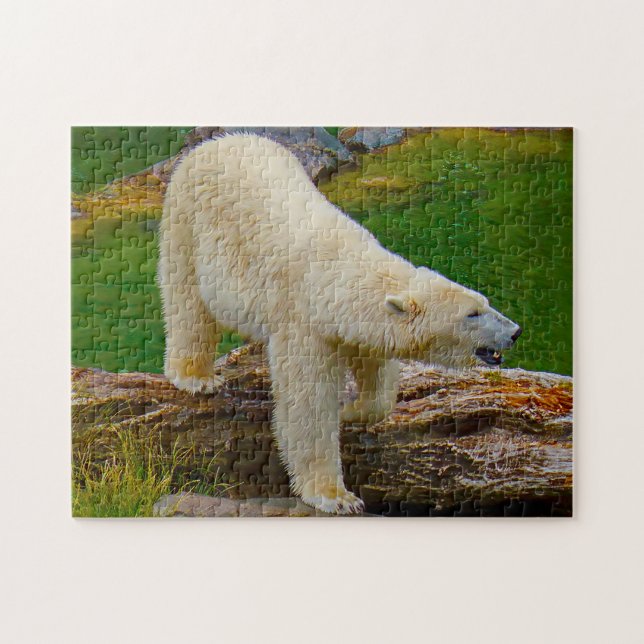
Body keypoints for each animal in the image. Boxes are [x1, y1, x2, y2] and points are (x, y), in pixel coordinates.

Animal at [158, 133, 522, 514]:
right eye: (472, 314)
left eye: (485, 302)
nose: (514, 332)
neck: (341, 272)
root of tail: (218, 141)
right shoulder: (303, 320)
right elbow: (308, 405)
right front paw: (336, 496)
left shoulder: (352, 324)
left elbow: (374, 368)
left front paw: (352, 410)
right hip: (187, 223)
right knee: (187, 304)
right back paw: (195, 376)